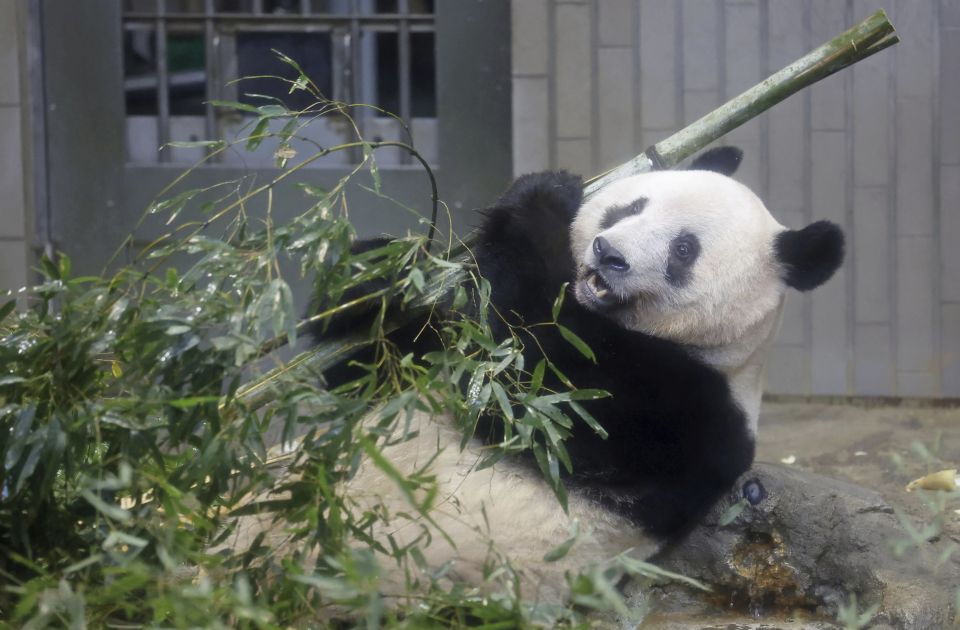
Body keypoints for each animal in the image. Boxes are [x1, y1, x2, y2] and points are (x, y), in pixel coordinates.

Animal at [244, 149, 844, 608]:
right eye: (633, 205)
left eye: (683, 249)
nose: (609, 253)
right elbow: (383, 369)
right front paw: (378, 277)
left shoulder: (683, 414)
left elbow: (534, 390)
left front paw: (543, 200)